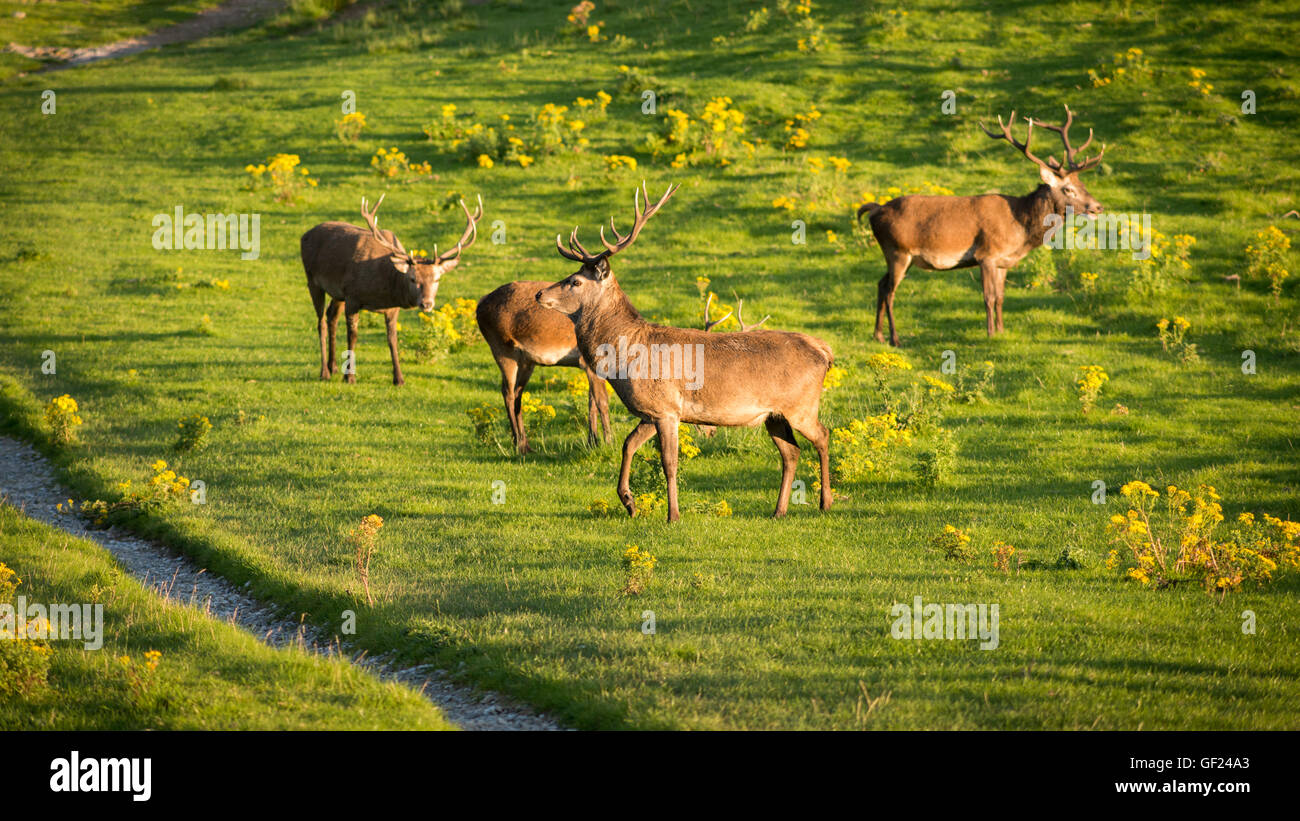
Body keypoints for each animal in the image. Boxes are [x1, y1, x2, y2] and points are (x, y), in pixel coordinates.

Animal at [299, 193, 483, 384]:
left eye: (437, 278)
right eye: (412, 278)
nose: (426, 304)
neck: (384, 291)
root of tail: (304, 235)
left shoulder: (391, 308)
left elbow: (392, 339)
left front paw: (399, 378)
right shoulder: (352, 297)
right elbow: (353, 336)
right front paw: (350, 377)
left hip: (337, 293)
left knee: (331, 316)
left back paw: (333, 367)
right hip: (312, 280)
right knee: (321, 322)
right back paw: (324, 372)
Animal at [478, 281, 613, 454]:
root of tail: (479, 306)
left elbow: (592, 402)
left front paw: (593, 443)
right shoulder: (588, 363)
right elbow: (601, 401)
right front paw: (608, 443)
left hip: (526, 361)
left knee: (517, 394)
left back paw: (526, 444)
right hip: (502, 349)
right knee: (507, 392)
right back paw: (519, 446)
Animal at [535, 183, 832, 522]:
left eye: (574, 281)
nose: (539, 293)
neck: (626, 356)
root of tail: (825, 351)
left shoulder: (667, 408)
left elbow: (669, 463)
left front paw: (673, 514)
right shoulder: (651, 410)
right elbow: (627, 445)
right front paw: (629, 501)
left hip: (801, 405)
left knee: (822, 435)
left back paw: (825, 502)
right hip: (775, 414)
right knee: (791, 451)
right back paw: (779, 510)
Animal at [857, 103, 1102, 345]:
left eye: (1082, 183)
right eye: (1068, 189)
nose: (1098, 207)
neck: (1019, 229)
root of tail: (875, 210)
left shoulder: (1003, 262)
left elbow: (1001, 297)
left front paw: (1002, 331)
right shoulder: (986, 255)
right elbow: (988, 297)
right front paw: (990, 333)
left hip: (898, 256)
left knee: (881, 284)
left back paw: (878, 335)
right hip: (898, 251)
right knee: (890, 291)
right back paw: (895, 339)